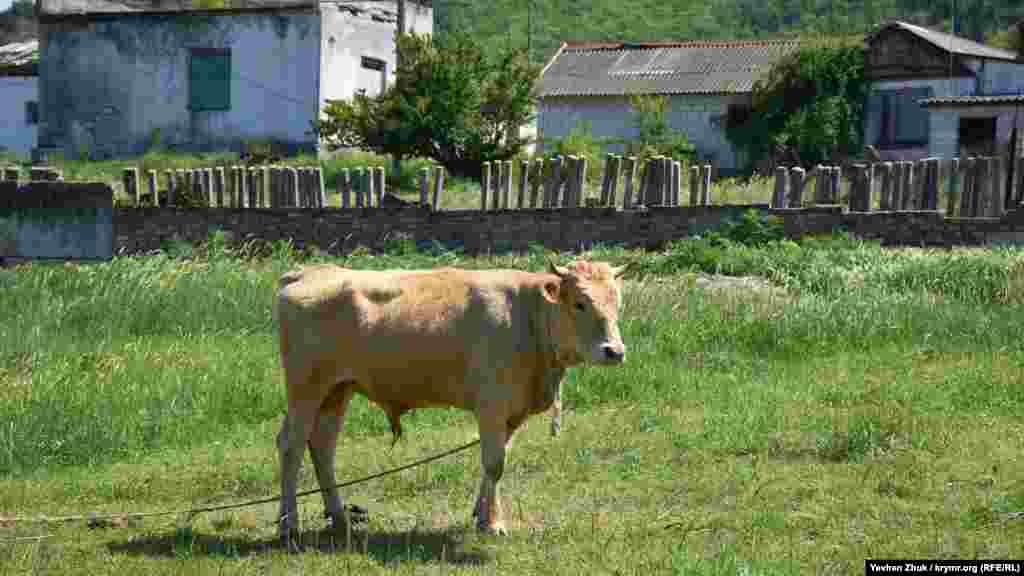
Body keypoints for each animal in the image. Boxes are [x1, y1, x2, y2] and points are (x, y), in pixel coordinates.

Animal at [272, 258, 630, 545]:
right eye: (580, 303)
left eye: (617, 303)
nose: (615, 351)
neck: (529, 316)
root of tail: (305, 273)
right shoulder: (491, 406)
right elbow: (495, 463)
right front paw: (494, 523)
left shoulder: (510, 412)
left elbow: (495, 462)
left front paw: (481, 515)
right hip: (306, 389)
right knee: (292, 444)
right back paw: (289, 526)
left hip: (337, 391)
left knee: (322, 446)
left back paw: (340, 518)